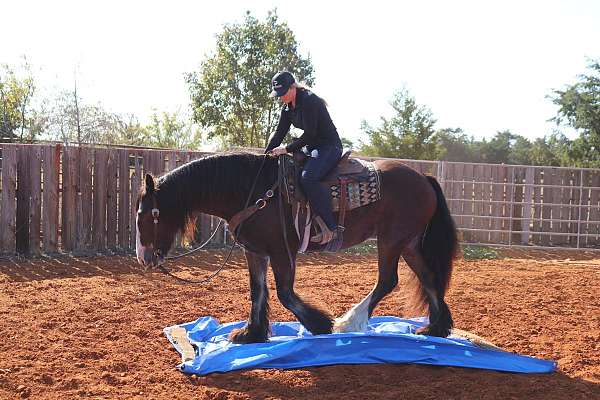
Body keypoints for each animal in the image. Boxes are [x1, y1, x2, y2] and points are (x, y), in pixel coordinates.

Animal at [134, 153, 458, 344]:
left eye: (147, 215)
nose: (143, 258)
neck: (253, 190)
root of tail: (424, 178)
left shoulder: (281, 251)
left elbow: (284, 293)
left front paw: (320, 324)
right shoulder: (255, 251)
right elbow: (257, 290)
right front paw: (251, 333)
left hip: (391, 239)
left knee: (388, 280)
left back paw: (350, 321)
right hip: (409, 243)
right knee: (429, 278)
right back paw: (436, 329)